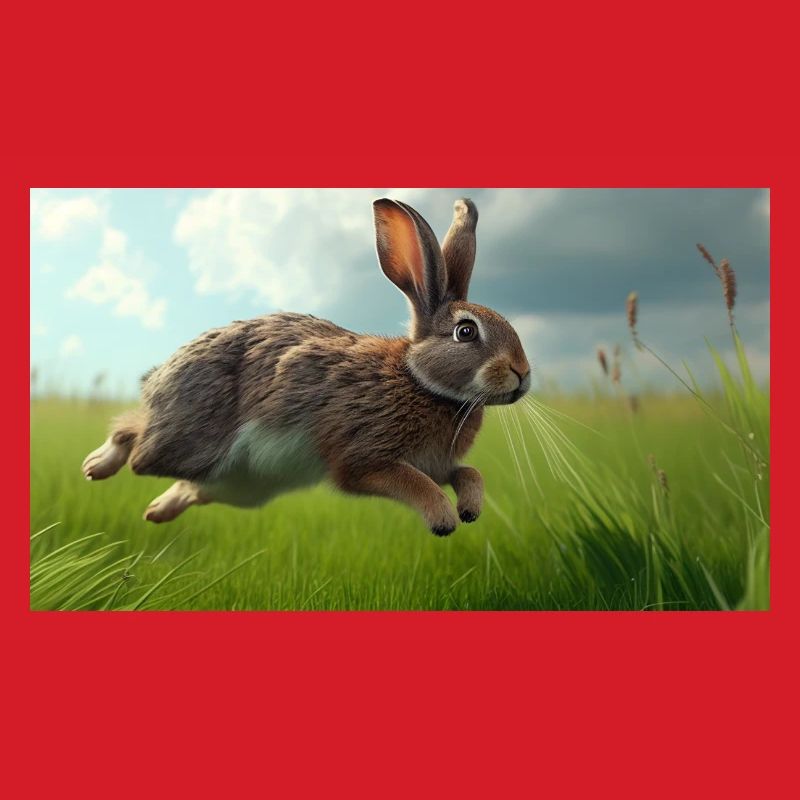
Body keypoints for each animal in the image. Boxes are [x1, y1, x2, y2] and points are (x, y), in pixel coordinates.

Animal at [81, 197, 531, 535]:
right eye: (466, 332)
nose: (523, 374)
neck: (420, 380)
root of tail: (159, 376)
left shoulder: (438, 464)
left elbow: (469, 473)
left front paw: (469, 509)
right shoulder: (363, 458)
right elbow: (412, 482)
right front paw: (443, 518)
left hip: (240, 488)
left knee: (191, 487)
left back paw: (157, 511)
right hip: (190, 443)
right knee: (136, 440)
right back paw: (97, 466)